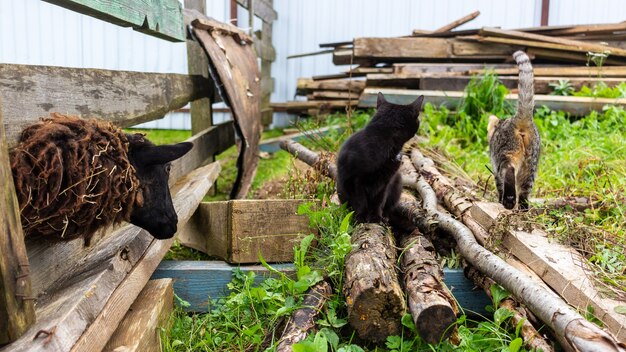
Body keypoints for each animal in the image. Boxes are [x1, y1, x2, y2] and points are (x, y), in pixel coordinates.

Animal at [334, 93, 422, 223]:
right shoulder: (355, 180)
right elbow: (360, 201)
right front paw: (361, 217)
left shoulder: (385, 182)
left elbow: (379, 201)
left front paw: (376, 217)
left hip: (397, 181)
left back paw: (385, 216)